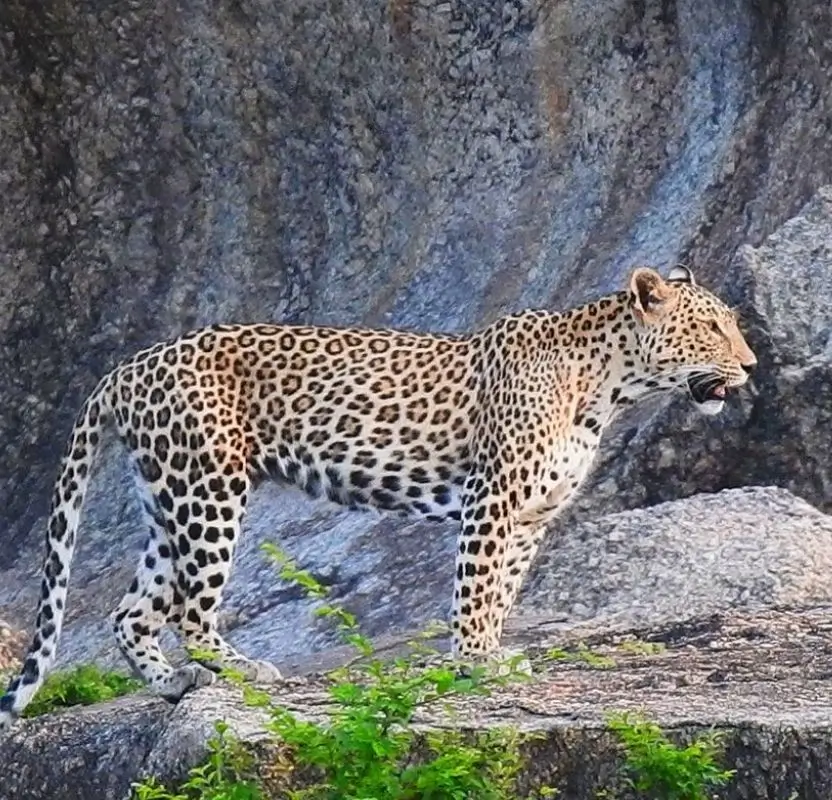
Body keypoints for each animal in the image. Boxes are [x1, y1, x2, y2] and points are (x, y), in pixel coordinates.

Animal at [0, 265, 756, 731]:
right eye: (712, 327)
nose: (750, 367)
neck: (609, 386)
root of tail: (129, 364)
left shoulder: (532, 517)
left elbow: (502, 592)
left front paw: (492, 655)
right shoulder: (492, 501)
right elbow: (474, 591)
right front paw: (474, 663)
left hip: (170, 496)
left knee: (130, 612)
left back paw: (171, 684)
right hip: (210, 490)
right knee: (190, 610)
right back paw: (244, 672)